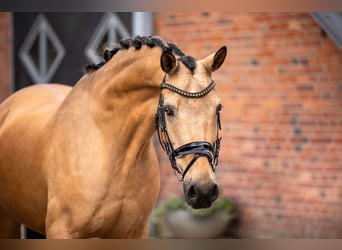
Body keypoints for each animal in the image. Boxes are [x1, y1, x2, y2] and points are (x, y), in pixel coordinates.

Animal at [0, 36, 227, 238]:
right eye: (168, 110)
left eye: (218, 108)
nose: (203, 190)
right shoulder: (63, 231)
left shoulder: (134, 232)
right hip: (8, 220)